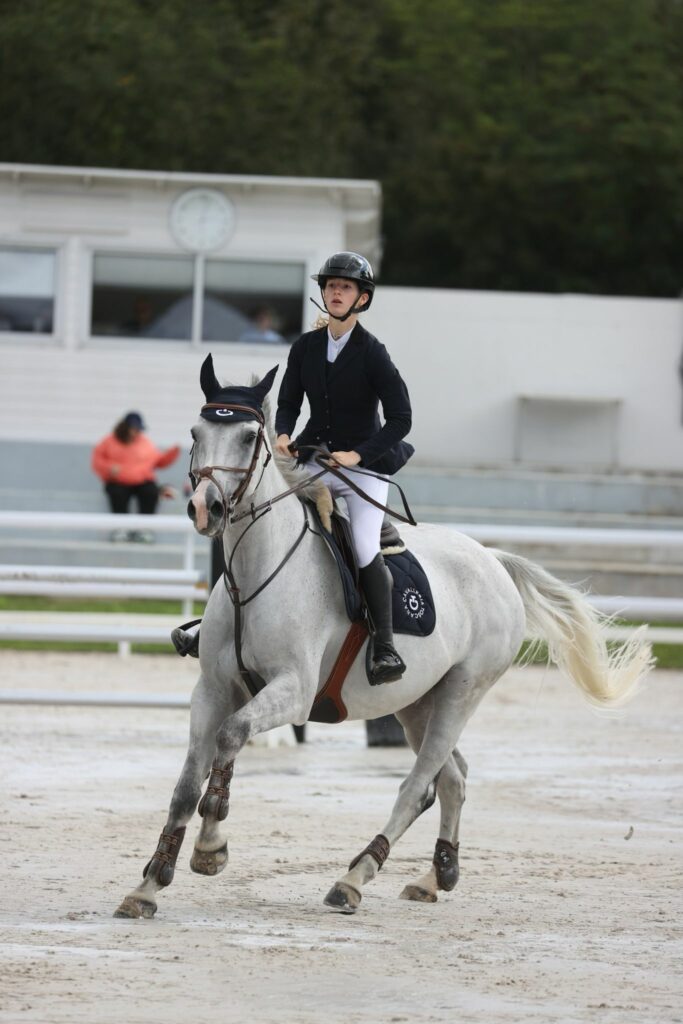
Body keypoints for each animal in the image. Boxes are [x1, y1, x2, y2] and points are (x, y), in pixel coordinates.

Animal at [114, 368, 655, 921]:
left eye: (247, 437)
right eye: (196, 433)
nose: (206, 508)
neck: (255, 573)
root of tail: (493, 560)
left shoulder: (292, 690)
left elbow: (231, 736)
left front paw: (210, 848)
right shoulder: (213, 690)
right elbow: (186, 786)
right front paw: (148, 886)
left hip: (462, 692)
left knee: (417, 786)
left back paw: (353, 879)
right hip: (417, 703)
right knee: (452, 778)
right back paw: (435, 876)